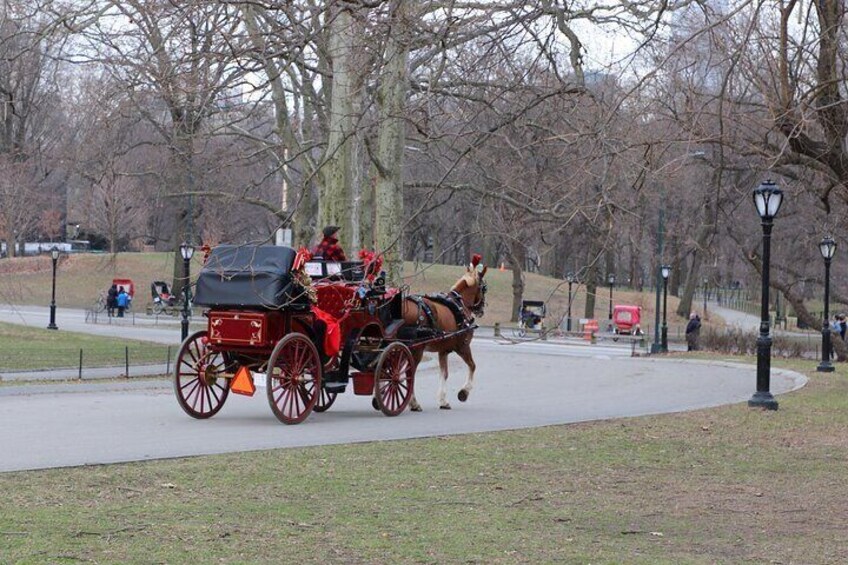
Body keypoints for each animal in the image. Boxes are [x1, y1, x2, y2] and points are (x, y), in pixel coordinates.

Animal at [406, 256, 490, 410]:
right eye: (484, 288)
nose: (481, 310)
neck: (460, 305)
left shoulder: (443, 351)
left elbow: (444, 374)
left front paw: (443, 400)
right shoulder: (463, 347)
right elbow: (472, 366)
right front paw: (464, 392)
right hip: (417, 350)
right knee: (409, 373)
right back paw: (413, 402)